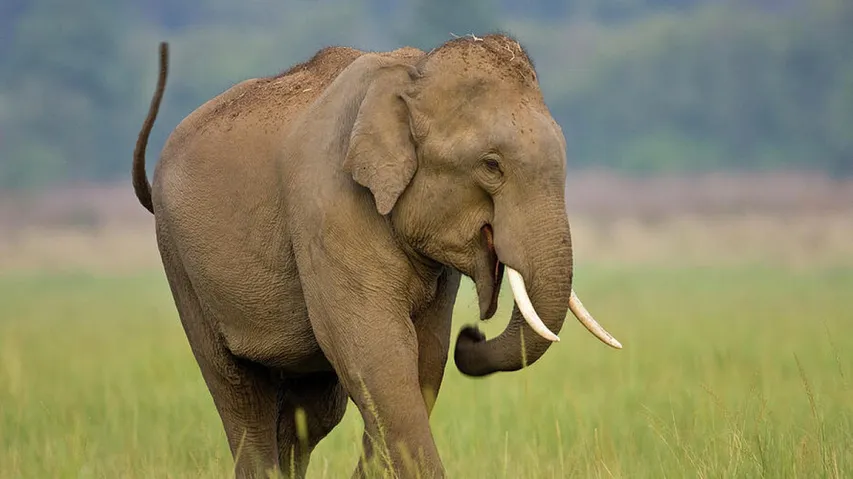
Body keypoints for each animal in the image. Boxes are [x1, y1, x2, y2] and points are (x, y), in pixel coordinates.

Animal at [132, 34, 622, 479]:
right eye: (491, 165)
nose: (472, 336)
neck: (410, 75)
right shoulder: (329, 207)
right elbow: (379, 356)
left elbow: (425, 359)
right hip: (179, 262)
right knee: (239, 392)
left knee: (312, 410)